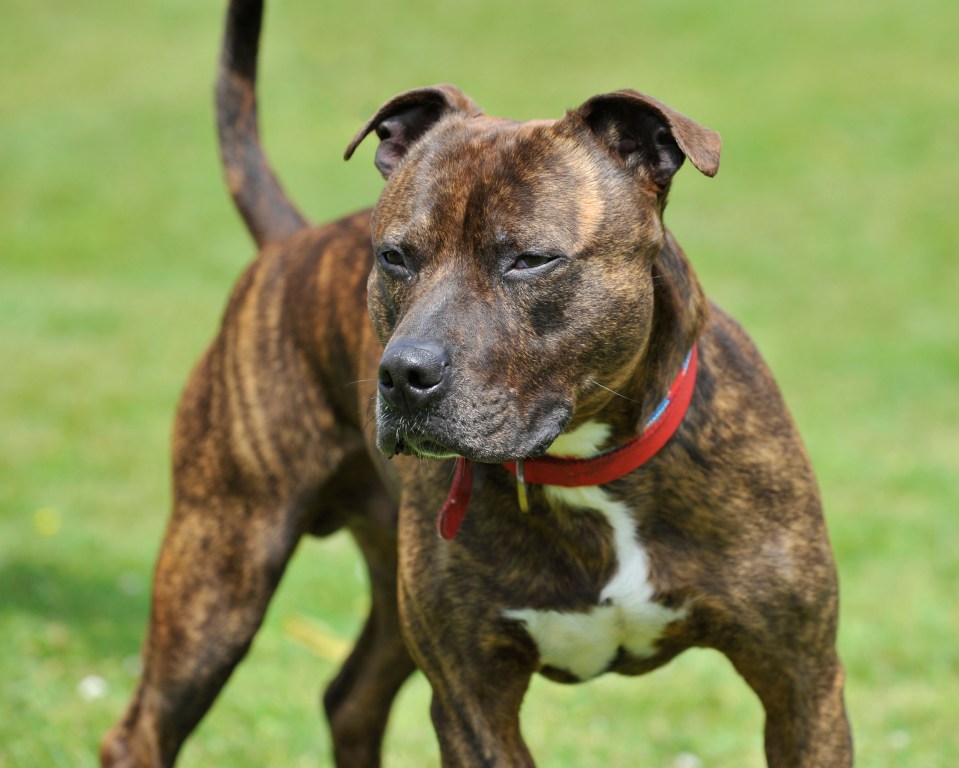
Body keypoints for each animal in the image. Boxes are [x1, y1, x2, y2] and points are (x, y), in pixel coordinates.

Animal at [103, 1, 856, 768]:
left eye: (529, 259)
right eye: (394, 257)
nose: (401, 374)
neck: (588, 470)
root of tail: (291, 242)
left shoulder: (801, 682)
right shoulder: (472, 701)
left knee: (350, 699)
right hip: (220, 564)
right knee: (143, 728)